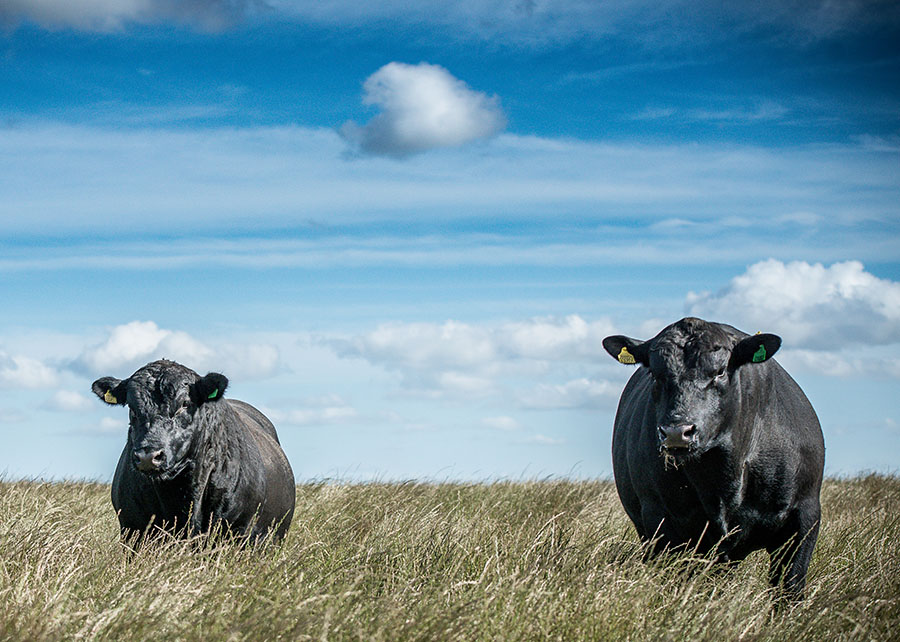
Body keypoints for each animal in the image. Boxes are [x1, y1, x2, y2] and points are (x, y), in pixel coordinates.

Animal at [600, 316, 828, 596]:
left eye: (719, 371)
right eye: (654, 372)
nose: (676, 432)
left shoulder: (804, 517)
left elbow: (790, 588)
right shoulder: (660, 522)